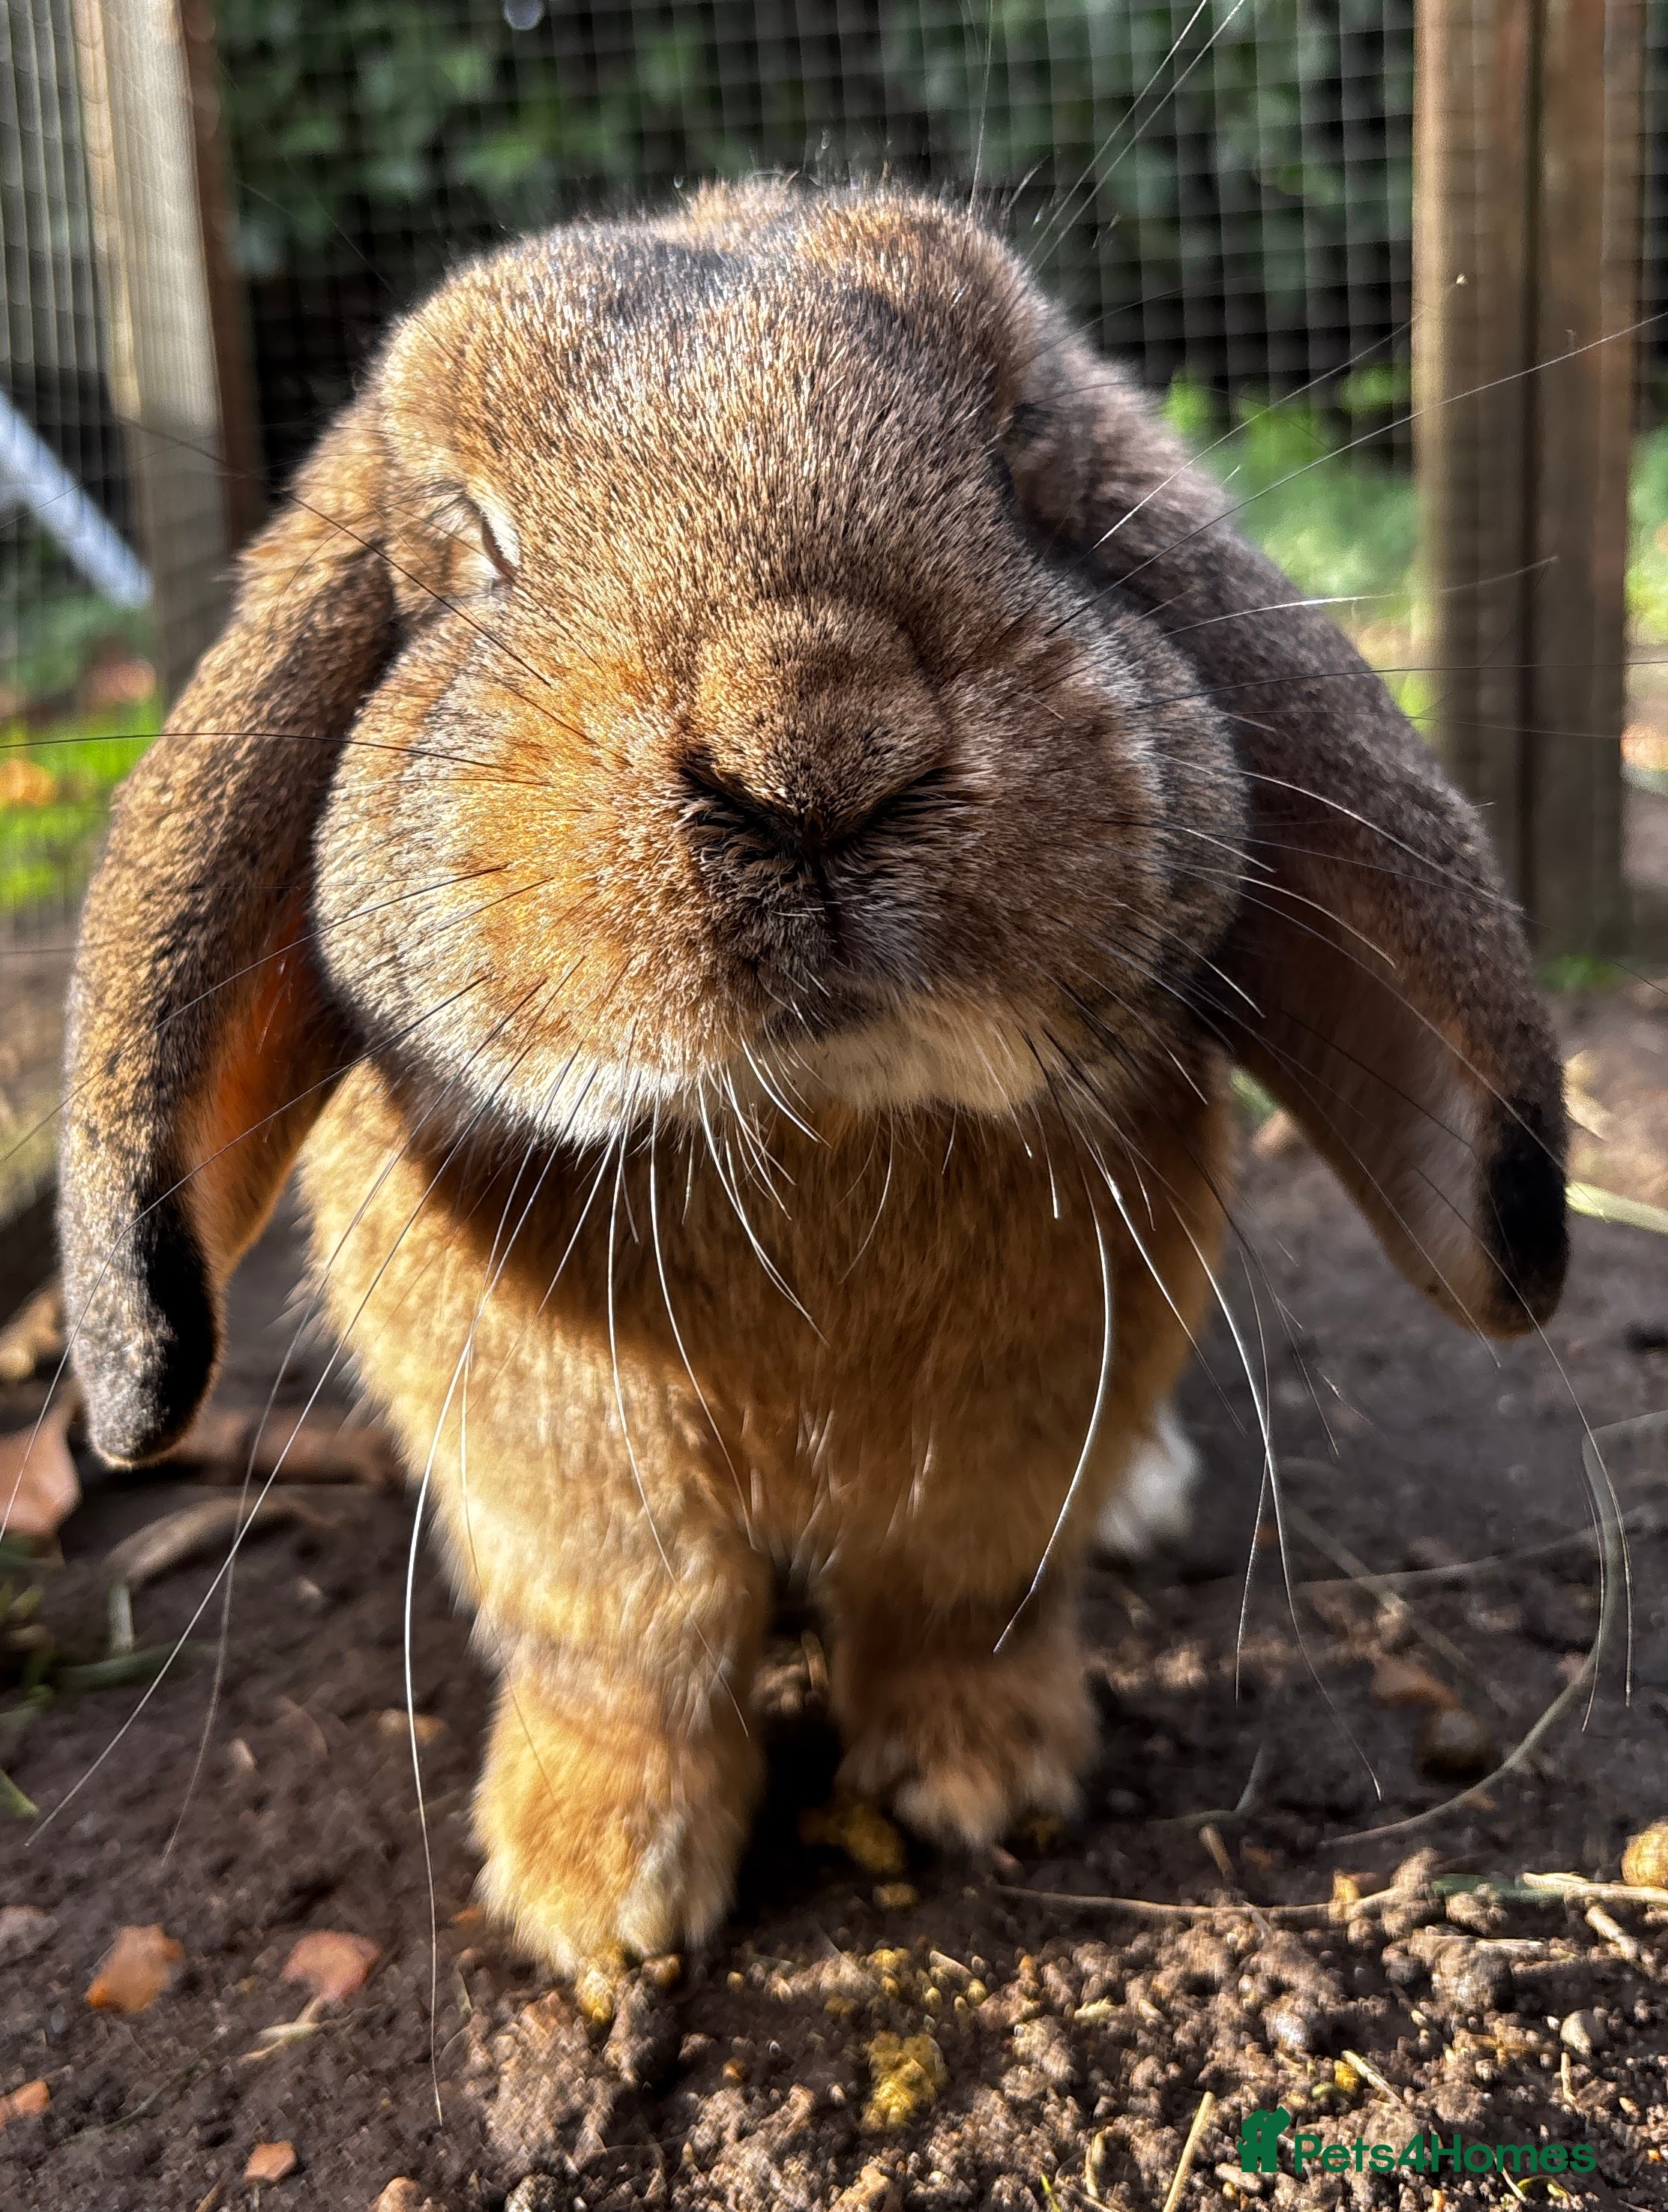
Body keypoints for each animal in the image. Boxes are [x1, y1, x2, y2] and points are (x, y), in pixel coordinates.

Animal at [60, 183, 1567, 1973]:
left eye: (1019, 455)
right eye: (474, 539)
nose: (814, 744)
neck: (816, 1124)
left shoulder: (1002, 1472)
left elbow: (956, 1610)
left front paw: (985, 1782)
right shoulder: (570, 1504)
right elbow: (632, 1661)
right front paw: (594, 1892)